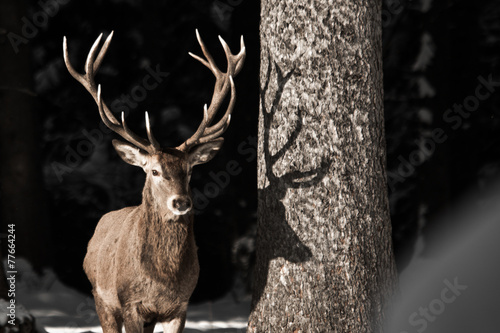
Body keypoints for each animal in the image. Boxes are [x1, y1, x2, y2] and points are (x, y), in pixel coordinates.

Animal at [62, 29, 246, 330]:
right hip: (101, 297)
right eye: (155, 171)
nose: (181, 202)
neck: (161, 281)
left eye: (190, 170)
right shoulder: (130, 304)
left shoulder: (179, 307)